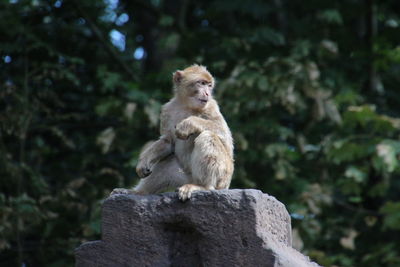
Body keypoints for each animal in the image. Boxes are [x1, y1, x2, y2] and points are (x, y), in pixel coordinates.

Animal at [111, 65, 233, 201]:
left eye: (209, 85)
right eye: (201, 83)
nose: (207, 93)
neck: (186, 105)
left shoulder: (211, 106)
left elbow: (224, 136)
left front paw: (188, 124)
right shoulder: (167, 110)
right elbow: (168, 141)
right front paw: (144, 161)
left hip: (223, 178)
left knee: (207, 136)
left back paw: (203, 186)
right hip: (184, 178)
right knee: (167, 162)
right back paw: (138, 192)